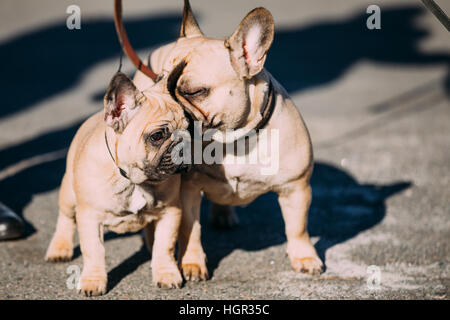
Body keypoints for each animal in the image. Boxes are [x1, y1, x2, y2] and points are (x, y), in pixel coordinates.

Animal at [47, 72, 190, 296]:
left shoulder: (170, 211)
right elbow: (94, 250)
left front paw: (166, 274)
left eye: (188, 128)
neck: (134, 179)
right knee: (65, 218)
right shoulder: (90, 217)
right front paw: (92, 281)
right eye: (157, 136)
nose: (185, 144)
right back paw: (59, 249)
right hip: (69, 194)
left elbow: (164, 245)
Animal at [134, 0, 324, 280]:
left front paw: (305, 257)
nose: (168, 103)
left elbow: (297, 227)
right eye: (159, 80)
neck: (231, 140)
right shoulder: (188, 189)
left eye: (194, 92)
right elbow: (190, 229)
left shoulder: (295, 187)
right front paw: (192, 264)